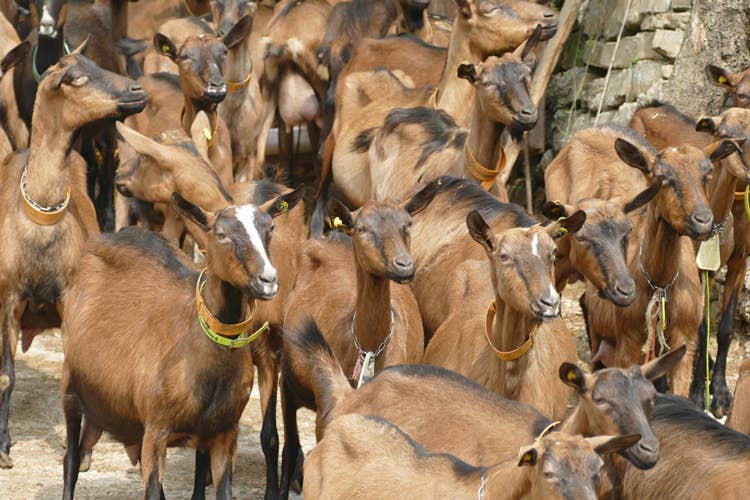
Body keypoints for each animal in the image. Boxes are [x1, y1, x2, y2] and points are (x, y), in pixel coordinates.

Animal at [0, 43, 146, 468]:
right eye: (76, 77)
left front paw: (78, 452)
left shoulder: (69, 299)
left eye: (96, 63)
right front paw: (3, 447)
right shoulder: (8, 300)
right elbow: (7, 375)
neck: (40, 219)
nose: (138, 89)